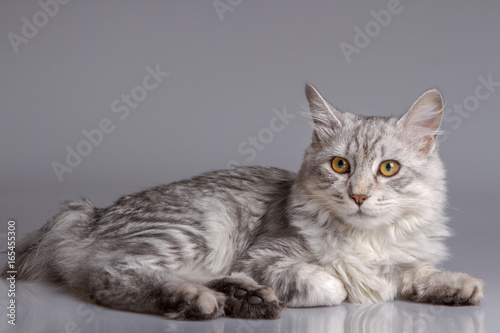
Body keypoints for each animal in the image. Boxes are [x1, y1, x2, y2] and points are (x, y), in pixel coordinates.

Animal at [1, 83, 482, 320]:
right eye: (340, 165)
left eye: (388, 168)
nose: (359, 196)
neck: (366, 239)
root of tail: (89, 215)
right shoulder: (263, 255)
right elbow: (334, 285)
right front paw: (343, 285)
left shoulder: (403, 260)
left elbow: (417, 273)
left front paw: (458, 286)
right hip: (201, 225)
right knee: (110, 274)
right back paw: (200, 301)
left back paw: (242, 298)